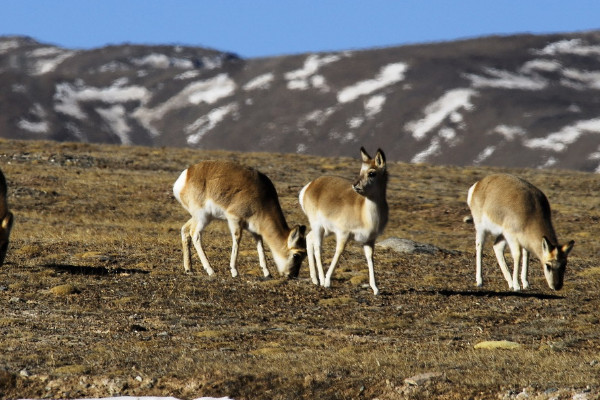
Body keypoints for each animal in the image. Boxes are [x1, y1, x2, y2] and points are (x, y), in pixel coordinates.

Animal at [172, 161, 304, 280]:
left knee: (185, 230)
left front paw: (267, 273)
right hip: (202, 218)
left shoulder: (254, 229)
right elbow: (237, 239)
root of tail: (187, 173)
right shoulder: (234, 220)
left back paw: (189, 269)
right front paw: (234, 271)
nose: (293, 276)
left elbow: (260, 244)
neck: (262, 198)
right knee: (195, 234)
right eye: (296, 255)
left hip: (202, 217)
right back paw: (210, 270)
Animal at [300, 147, 390, 294]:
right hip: (318, 226)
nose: (355, 185)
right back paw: (321, 280)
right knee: (318, 248)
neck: (365, 214)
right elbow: (339, 252)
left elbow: (370, 258)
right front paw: (328, 282)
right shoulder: (343, 234)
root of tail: (310, 185)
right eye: (361, 171)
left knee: (309, 238)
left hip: (325, 230)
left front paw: (376, 288)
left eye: (372, 173)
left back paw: (314, 279)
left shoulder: (369, 240)